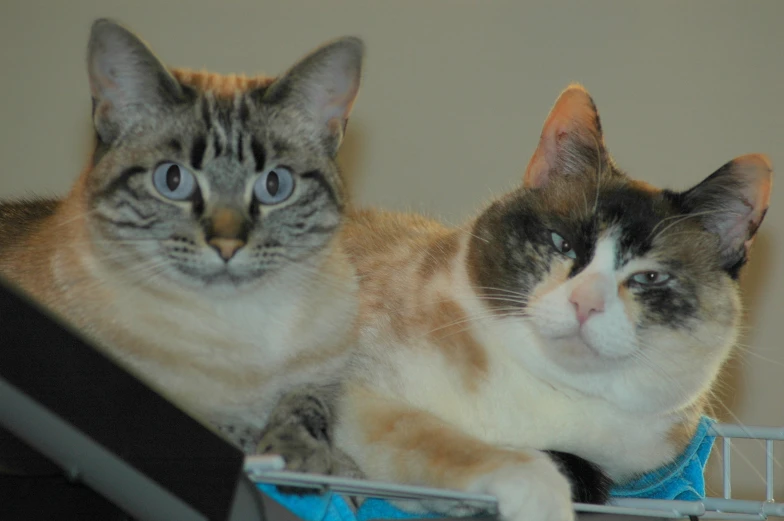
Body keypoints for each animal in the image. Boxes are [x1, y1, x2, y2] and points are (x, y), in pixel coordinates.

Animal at [0, 17, 362, 456]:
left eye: (275, 184)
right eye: (173, 179)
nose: (227, 245)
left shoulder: (321, 383)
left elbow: (306, 408)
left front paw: (304, 453)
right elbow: (229, 428)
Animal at [262, 83, 772, 516]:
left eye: (649, 277)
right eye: (562, 243)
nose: (585, 304)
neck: (547, 388)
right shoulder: (360, 394)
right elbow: (457, 446)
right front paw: (541, 499)